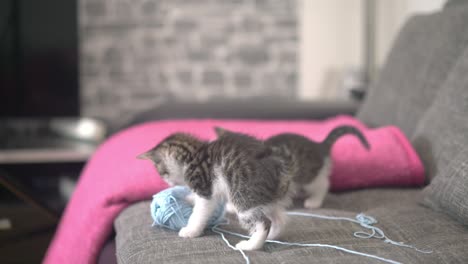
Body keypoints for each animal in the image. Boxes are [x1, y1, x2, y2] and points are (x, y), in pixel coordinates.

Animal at [139, 133, 290, 251]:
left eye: (161, 173)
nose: (169, 184)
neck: (193, 154)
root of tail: (278, 167)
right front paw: (188, 198)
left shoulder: (204, 187)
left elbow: (199, 213)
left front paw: (191, 230)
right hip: (264, 197)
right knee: (279, 219)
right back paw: (271, 235)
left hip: (244, 193)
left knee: (264, 222)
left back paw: (251, 245)